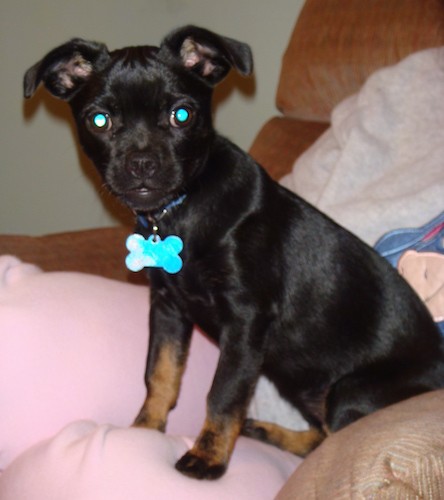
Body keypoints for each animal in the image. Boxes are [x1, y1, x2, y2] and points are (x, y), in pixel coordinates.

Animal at [24, 27, 444, 480]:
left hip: (348, 390)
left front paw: (208, 457)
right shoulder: (168, 308)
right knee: (317, 440)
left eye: (182, 115)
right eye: (99, 120)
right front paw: (145, 429)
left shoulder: (245, 320)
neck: (181, 212)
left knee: (331, 439)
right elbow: (160, 375)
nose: (142, 164)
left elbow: (224, 394)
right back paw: (266, 432)